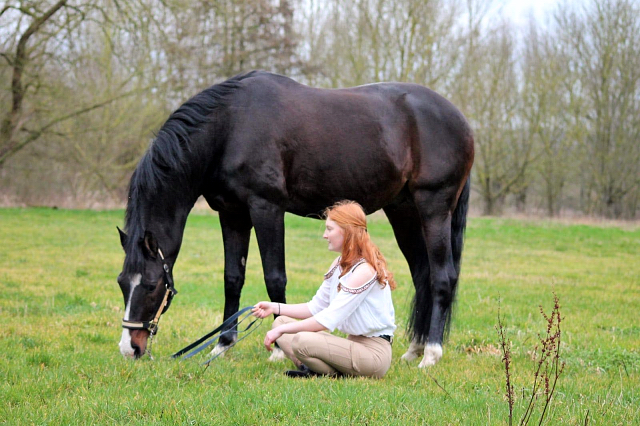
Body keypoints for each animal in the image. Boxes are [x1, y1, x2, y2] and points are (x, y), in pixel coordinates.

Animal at [117, 69, 472, 366]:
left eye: (152, 285)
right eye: (122, 283)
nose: (130, 348)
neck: (230, 127)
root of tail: (461, 121)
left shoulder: (267, 208)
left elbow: (275, 277)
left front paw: (276, 349)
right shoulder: (232, 213)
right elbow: (233, 278)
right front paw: (222, 344)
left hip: (434, 207)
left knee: (443, 277)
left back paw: (431, 354)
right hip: (404, 212)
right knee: (423, 275)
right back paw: (414, 349)